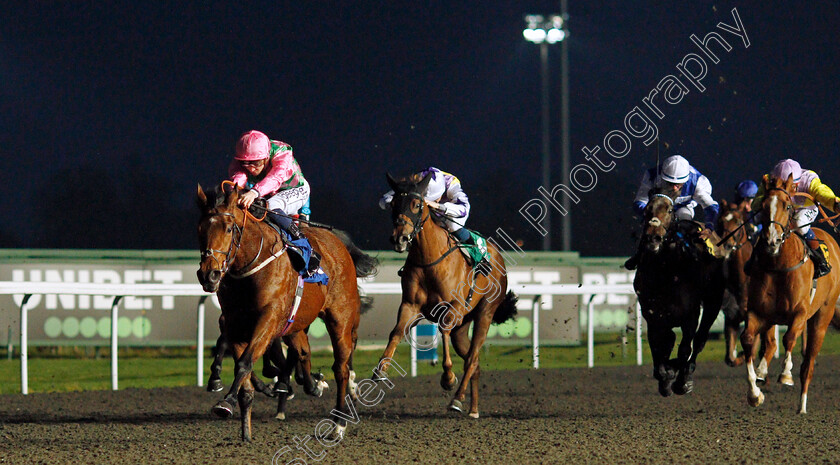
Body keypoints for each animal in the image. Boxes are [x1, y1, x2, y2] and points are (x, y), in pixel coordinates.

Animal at [197, 183, 378, 440]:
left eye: (229, 228)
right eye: (200, 230)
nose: (209, 275)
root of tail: (338, 243)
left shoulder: (269, 318)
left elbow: (245, 363)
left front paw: (226, 401)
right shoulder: (234, 323)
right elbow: (244, 368)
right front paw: (245, 432)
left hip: (340, 318)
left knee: (341, 368)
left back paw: (338, 423)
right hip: (296, 323)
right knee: (303, 352)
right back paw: (312, 385)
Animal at [376, 173, 520, 416]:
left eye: (417, 205)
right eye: (394, 204)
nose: (400, 238)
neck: (429, 260)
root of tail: (498, 257)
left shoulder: (453, 306)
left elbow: (443, 330)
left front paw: (448, 378)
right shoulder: (411, 305)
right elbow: (396, 332)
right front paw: (381, 369)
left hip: (485, 313)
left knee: (472, 359)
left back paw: (457, 399)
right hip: (462, 328)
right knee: (475, 361)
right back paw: (473, 409)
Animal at [632, 185, 724, 396]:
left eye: (669, 210)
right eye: (647, 210)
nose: (653, 238)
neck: (666, 273)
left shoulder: (691, 315)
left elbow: (684, 349)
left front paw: (681, 381)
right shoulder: (652, 314)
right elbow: (658, 346)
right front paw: (665, 378)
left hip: (713, 302)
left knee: (699, 339)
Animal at [740, 175, 840, 414]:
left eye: (787, 205)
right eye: (763, 206)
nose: (771, 240)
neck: (779, 266)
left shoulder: (800, 312)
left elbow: (790, 338)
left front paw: (785, 375)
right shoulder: (758, 312)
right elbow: (748, 339)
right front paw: (754, 393)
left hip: (822, 317)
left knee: (808, 363)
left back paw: (802, 407)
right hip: (773, 319)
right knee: (771, 345)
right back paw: (762, 373)